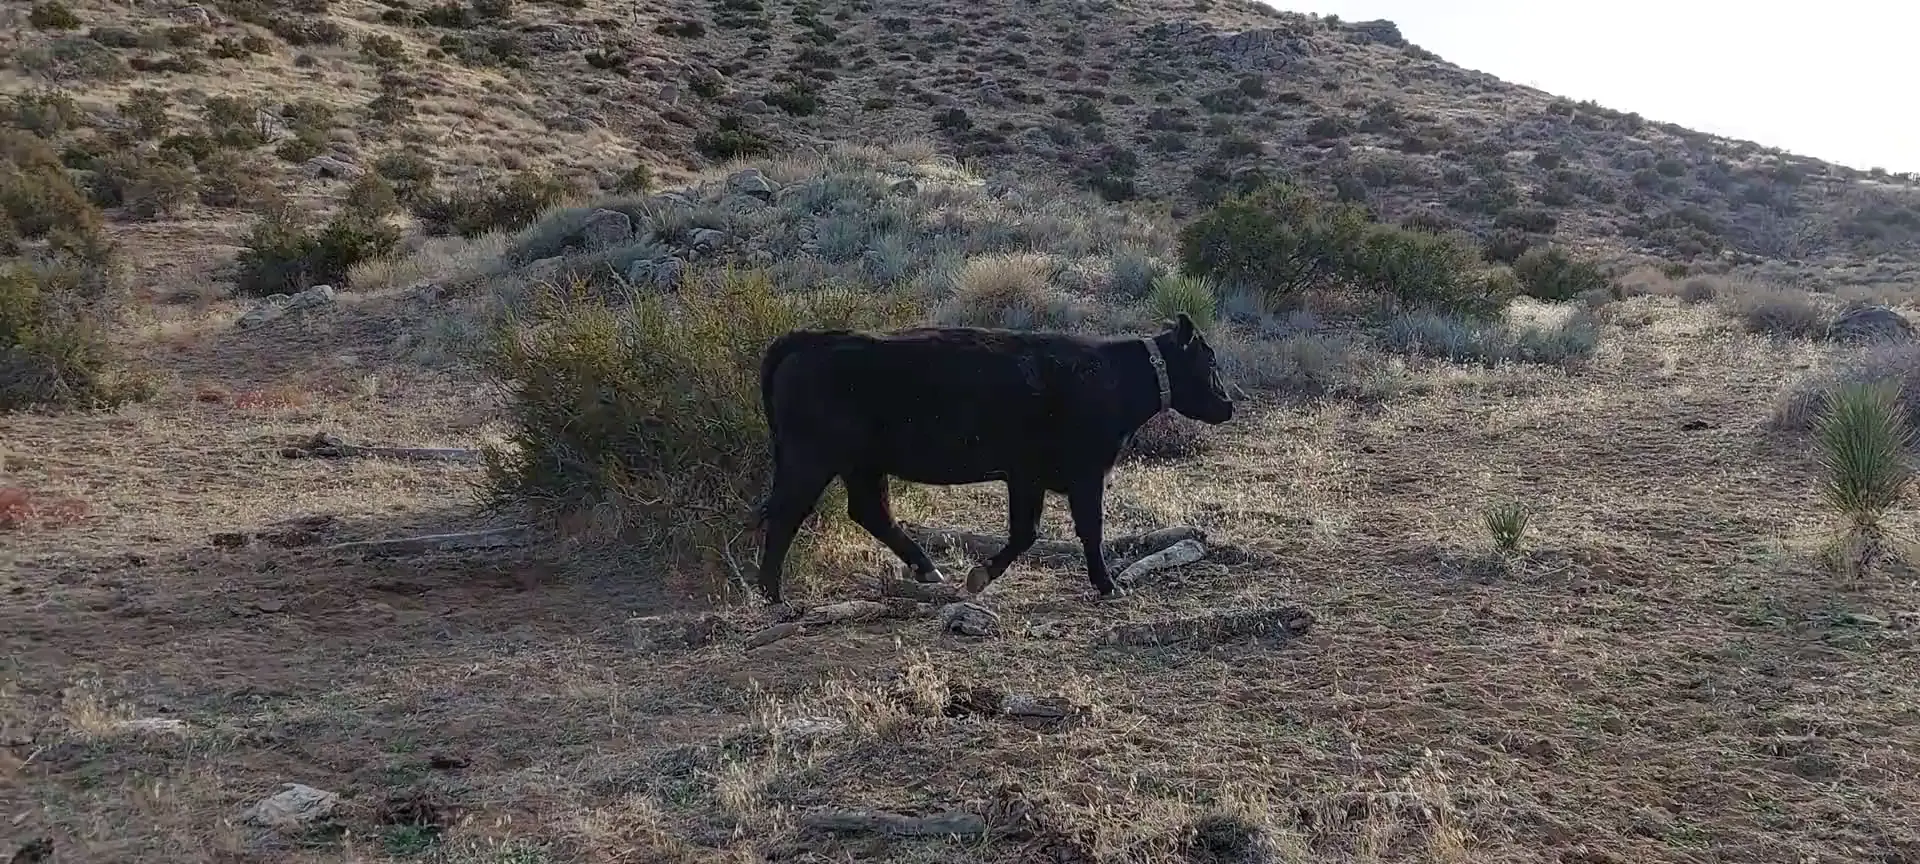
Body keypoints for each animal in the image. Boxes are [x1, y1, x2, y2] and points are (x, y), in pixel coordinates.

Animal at [750, 312, 1235, 606]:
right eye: (1209, 361)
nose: (1229, 404)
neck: (1110, 375)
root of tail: (807, 339)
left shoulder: (1027, 476)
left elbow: (1026, 532)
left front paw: (979, 576)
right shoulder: (1085, 472)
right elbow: (1088, 529)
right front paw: (1108, 585)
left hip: (862, 465)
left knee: (869, 511)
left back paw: (928, 570)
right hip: (812, 459)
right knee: (787, 513)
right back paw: (773, 593)